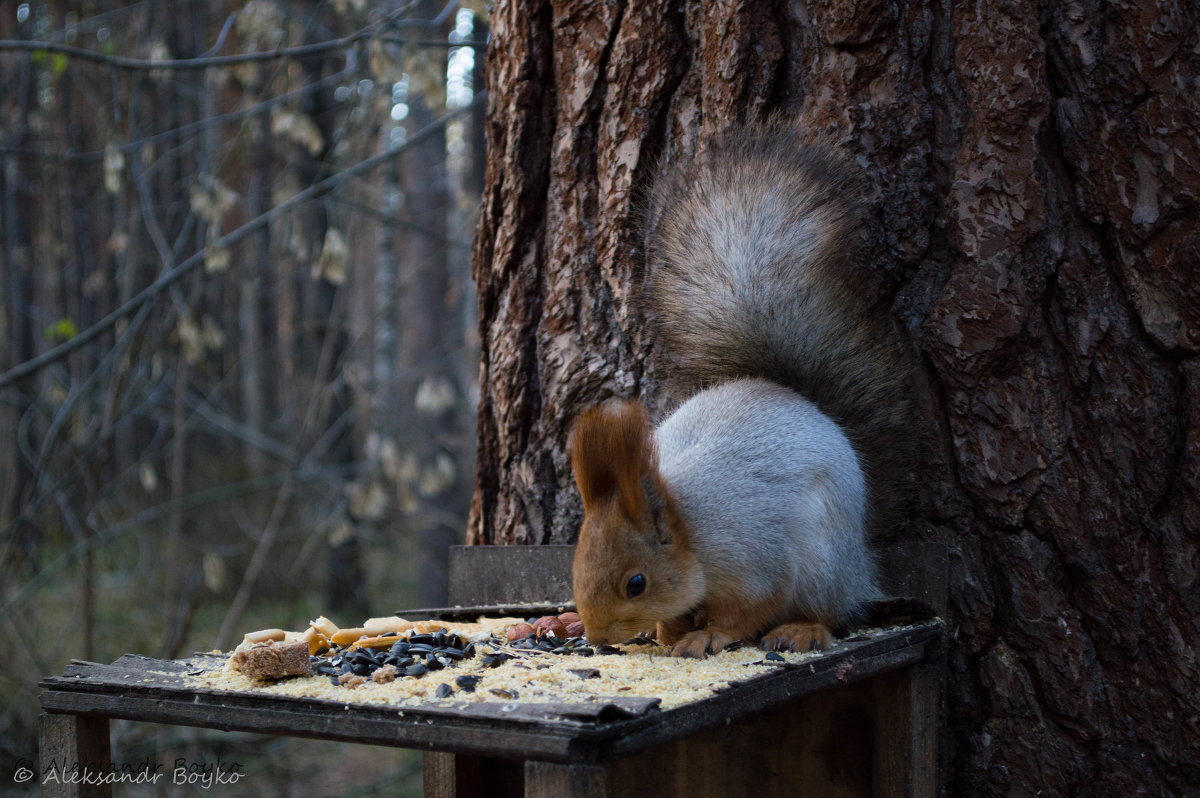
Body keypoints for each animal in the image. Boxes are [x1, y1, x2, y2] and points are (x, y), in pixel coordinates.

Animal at [566, 117, 912, 652]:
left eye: (636, 583)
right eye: (576, 565)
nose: (598, 636)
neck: (689, 525)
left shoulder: (755, 554)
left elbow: (754, 608)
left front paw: (709, 635)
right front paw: (668, 630)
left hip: (824, 563)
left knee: (828, 609)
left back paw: (803, 628)